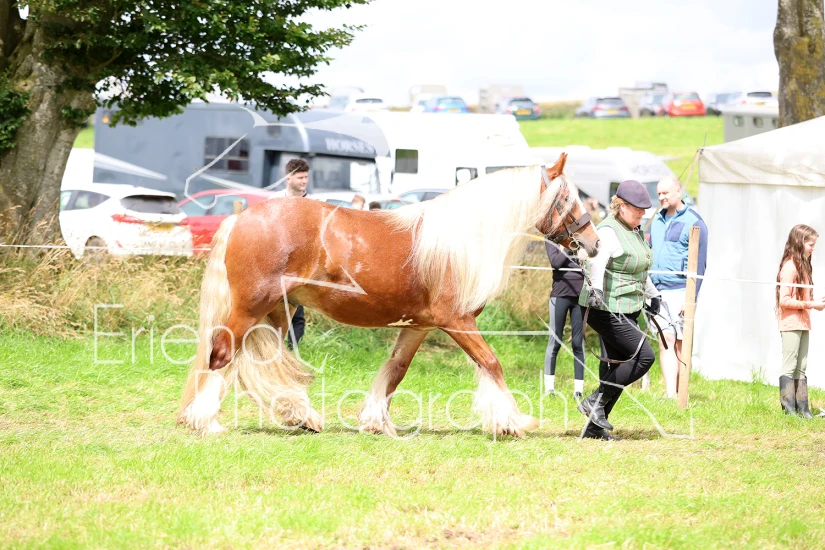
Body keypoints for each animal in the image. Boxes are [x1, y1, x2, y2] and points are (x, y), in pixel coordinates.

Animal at [178, 153, 600, 438]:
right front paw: (510, 422)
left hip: (276, 313)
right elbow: (491, 364)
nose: (593, 244)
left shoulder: (418, 326)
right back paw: (207, 422)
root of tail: (240, 216)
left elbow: (395, 371)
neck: (461, 241)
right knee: (222, 355)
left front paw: (375, 422)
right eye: (567, 200)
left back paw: (301, 416)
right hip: (250, 309)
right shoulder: (458, 321)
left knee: (253, 362)